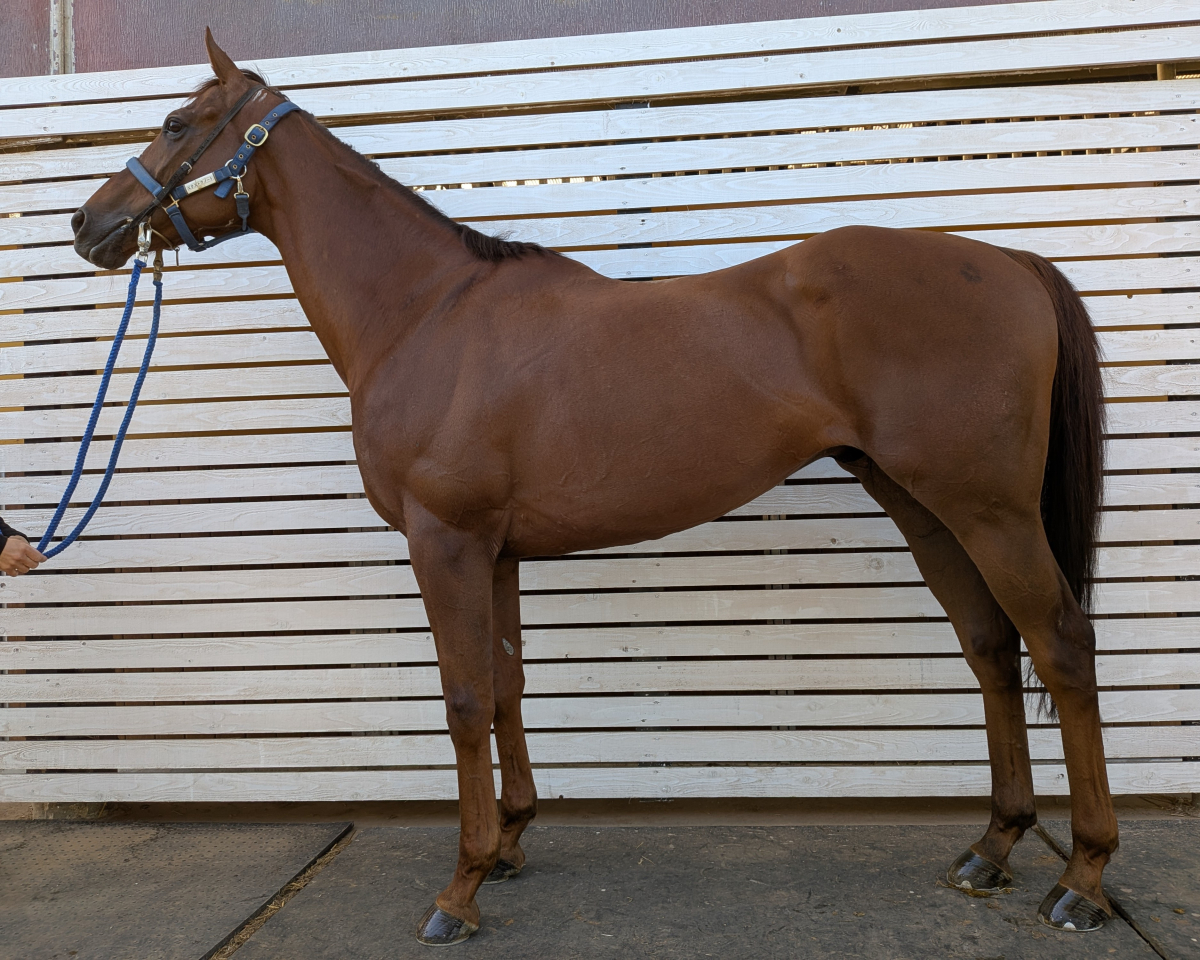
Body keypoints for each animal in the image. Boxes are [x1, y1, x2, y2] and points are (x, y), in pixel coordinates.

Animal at [71, 30, 1115, 945]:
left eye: (174, 121)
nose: (90, 223)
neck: (423, 313)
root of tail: (1008, 261)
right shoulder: (493, 550)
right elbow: (506, 687)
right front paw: (511, 843)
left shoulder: (444, 540)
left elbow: (463, 698)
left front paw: (460, 889)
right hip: (926, 507)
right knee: (992, 649)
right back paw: (992, 848)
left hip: (989, 510)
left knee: (1060, 644)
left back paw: (1082, 878)